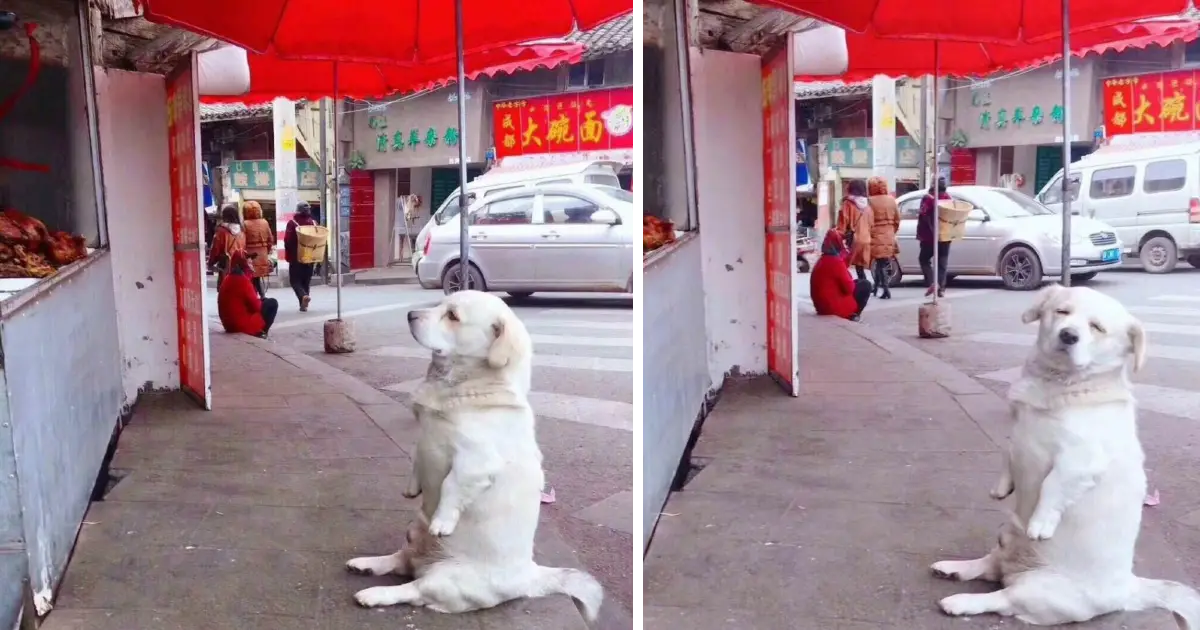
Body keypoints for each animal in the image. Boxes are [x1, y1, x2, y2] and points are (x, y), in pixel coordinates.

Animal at [348, 290, 604, 619]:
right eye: (441, 304)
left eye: (452, 316)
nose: (410, 315)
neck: (460, 386)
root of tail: (530, 576)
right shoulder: (424, 438)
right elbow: (417, 458)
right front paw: (412, 487)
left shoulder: (475, 462)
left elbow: (451, 487)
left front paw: (443, 520)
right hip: (413, 531)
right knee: (400, 560)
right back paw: (366, 565)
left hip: (445, 578)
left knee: (412, 589)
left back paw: (374, 593)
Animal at [931, 285, 1200, 628]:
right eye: (1062, 312)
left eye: (1097, 327)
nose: (1069, 335)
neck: (1056, 385)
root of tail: (1128, 589)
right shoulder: (1017, 431)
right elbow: (1008, 452)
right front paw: (1002, 486)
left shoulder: (1081, 459)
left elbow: (1053, 486)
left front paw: (1041, 523)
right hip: (1006, 537)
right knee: (990, 565)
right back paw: (954, 568)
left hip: (1038, 590)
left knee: (1001, 597)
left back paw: (960, 601)